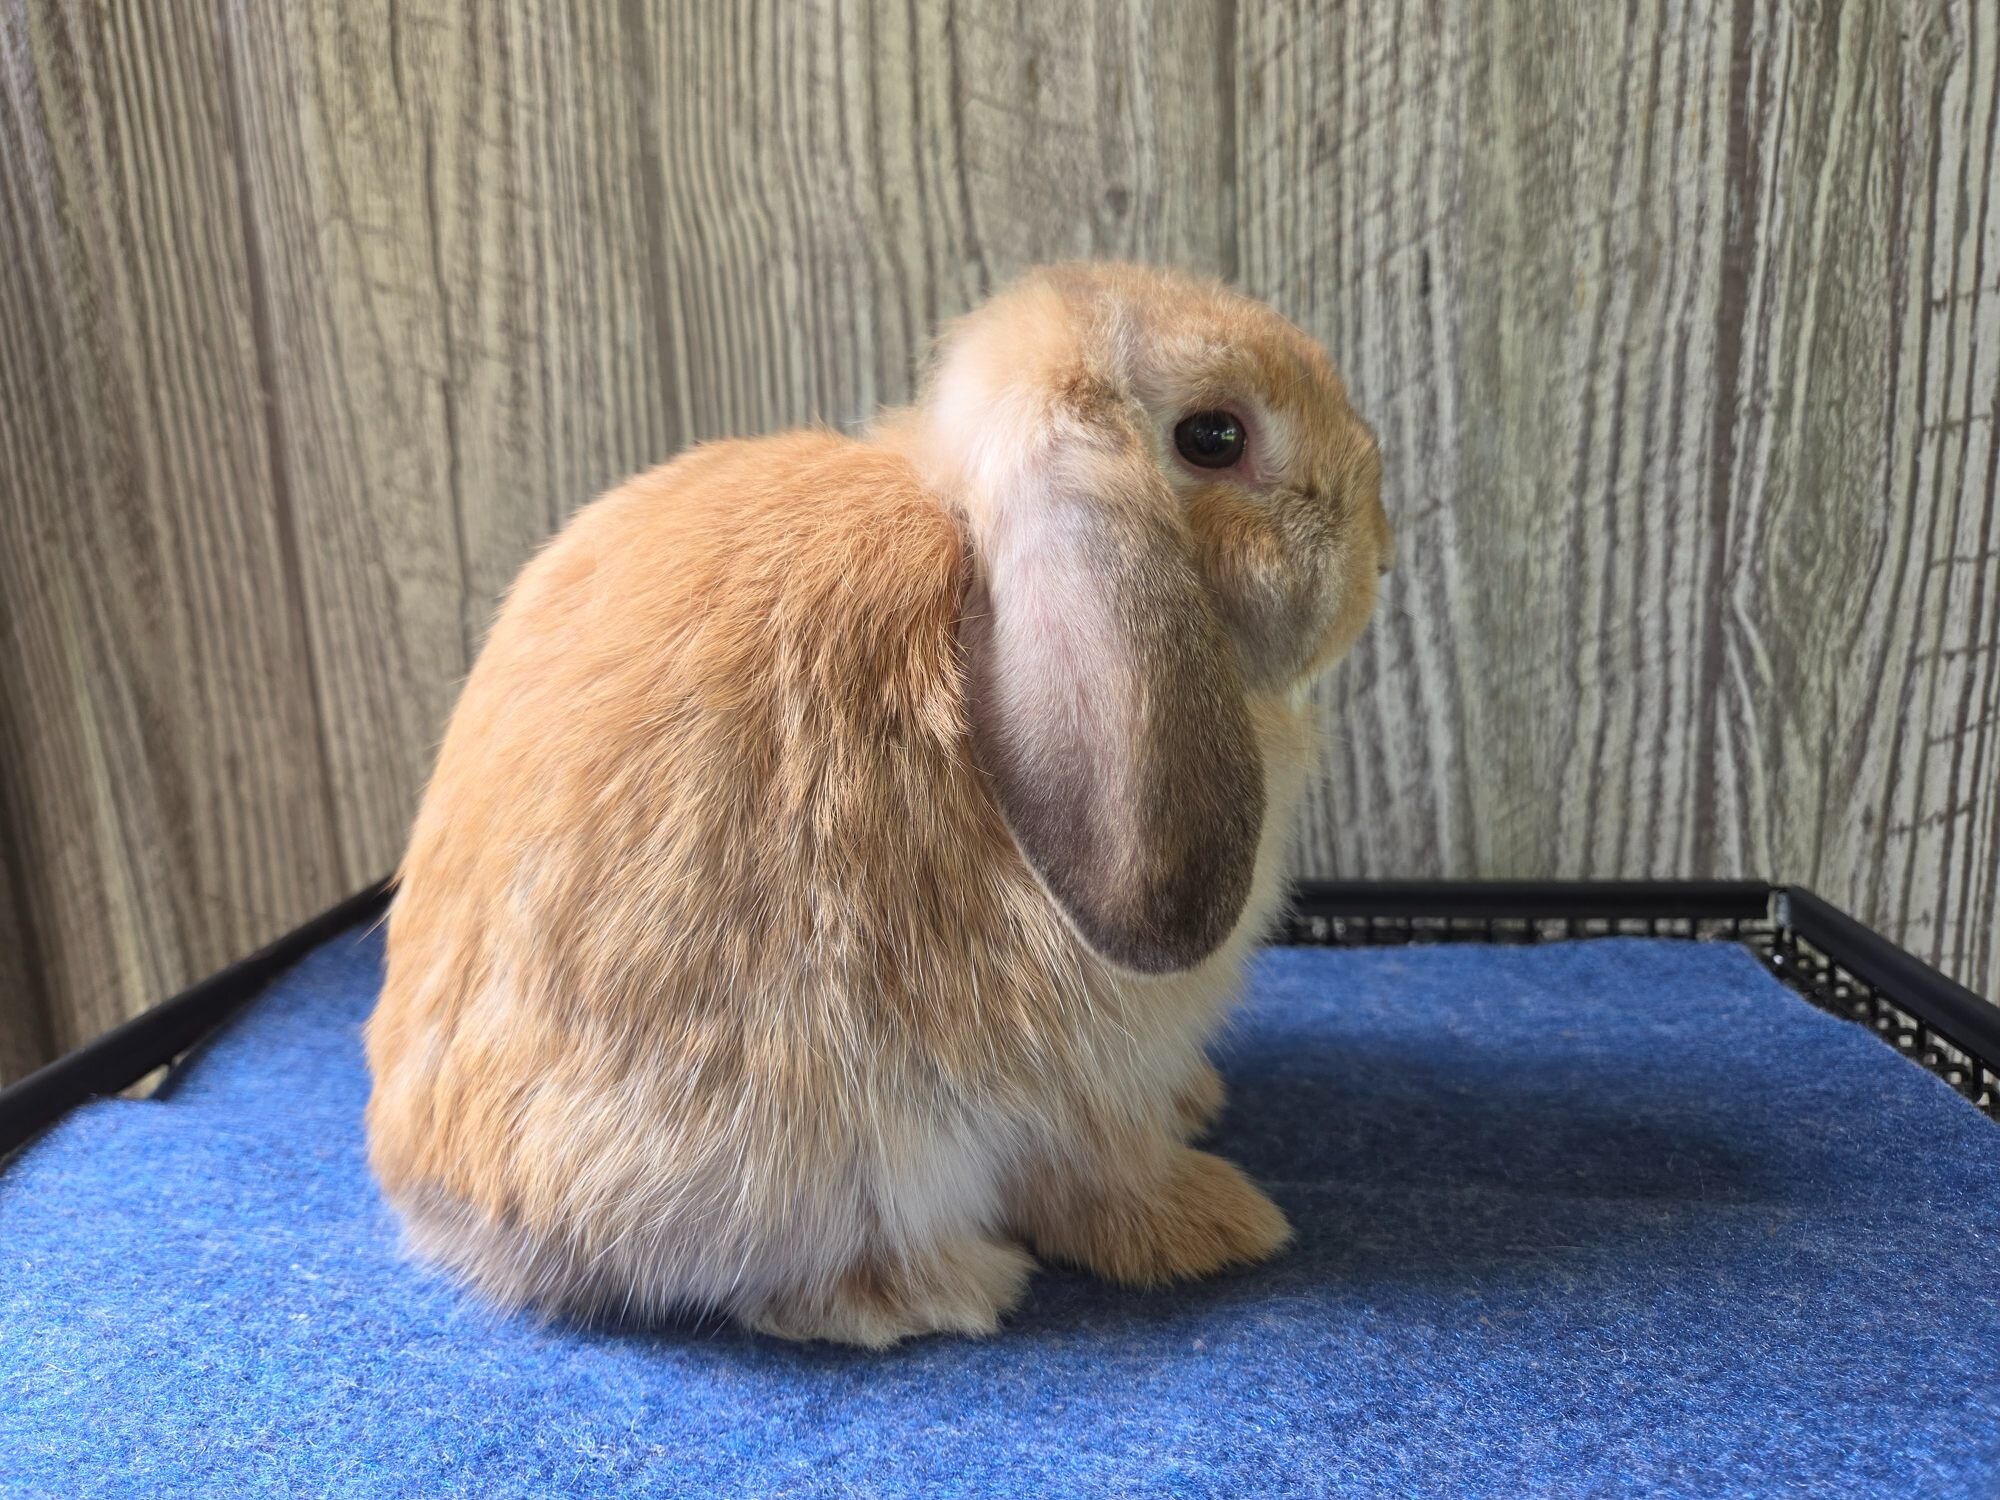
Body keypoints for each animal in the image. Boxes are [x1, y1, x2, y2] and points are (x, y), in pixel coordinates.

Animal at [364, 262, 1391, 1347]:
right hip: (803, 1145)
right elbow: (1101, 1178)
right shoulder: (1082, 1077)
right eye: (1214, 436)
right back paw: (943, 1287)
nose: (1382, 545)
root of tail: (442, 1204)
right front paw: (1217, 1224)